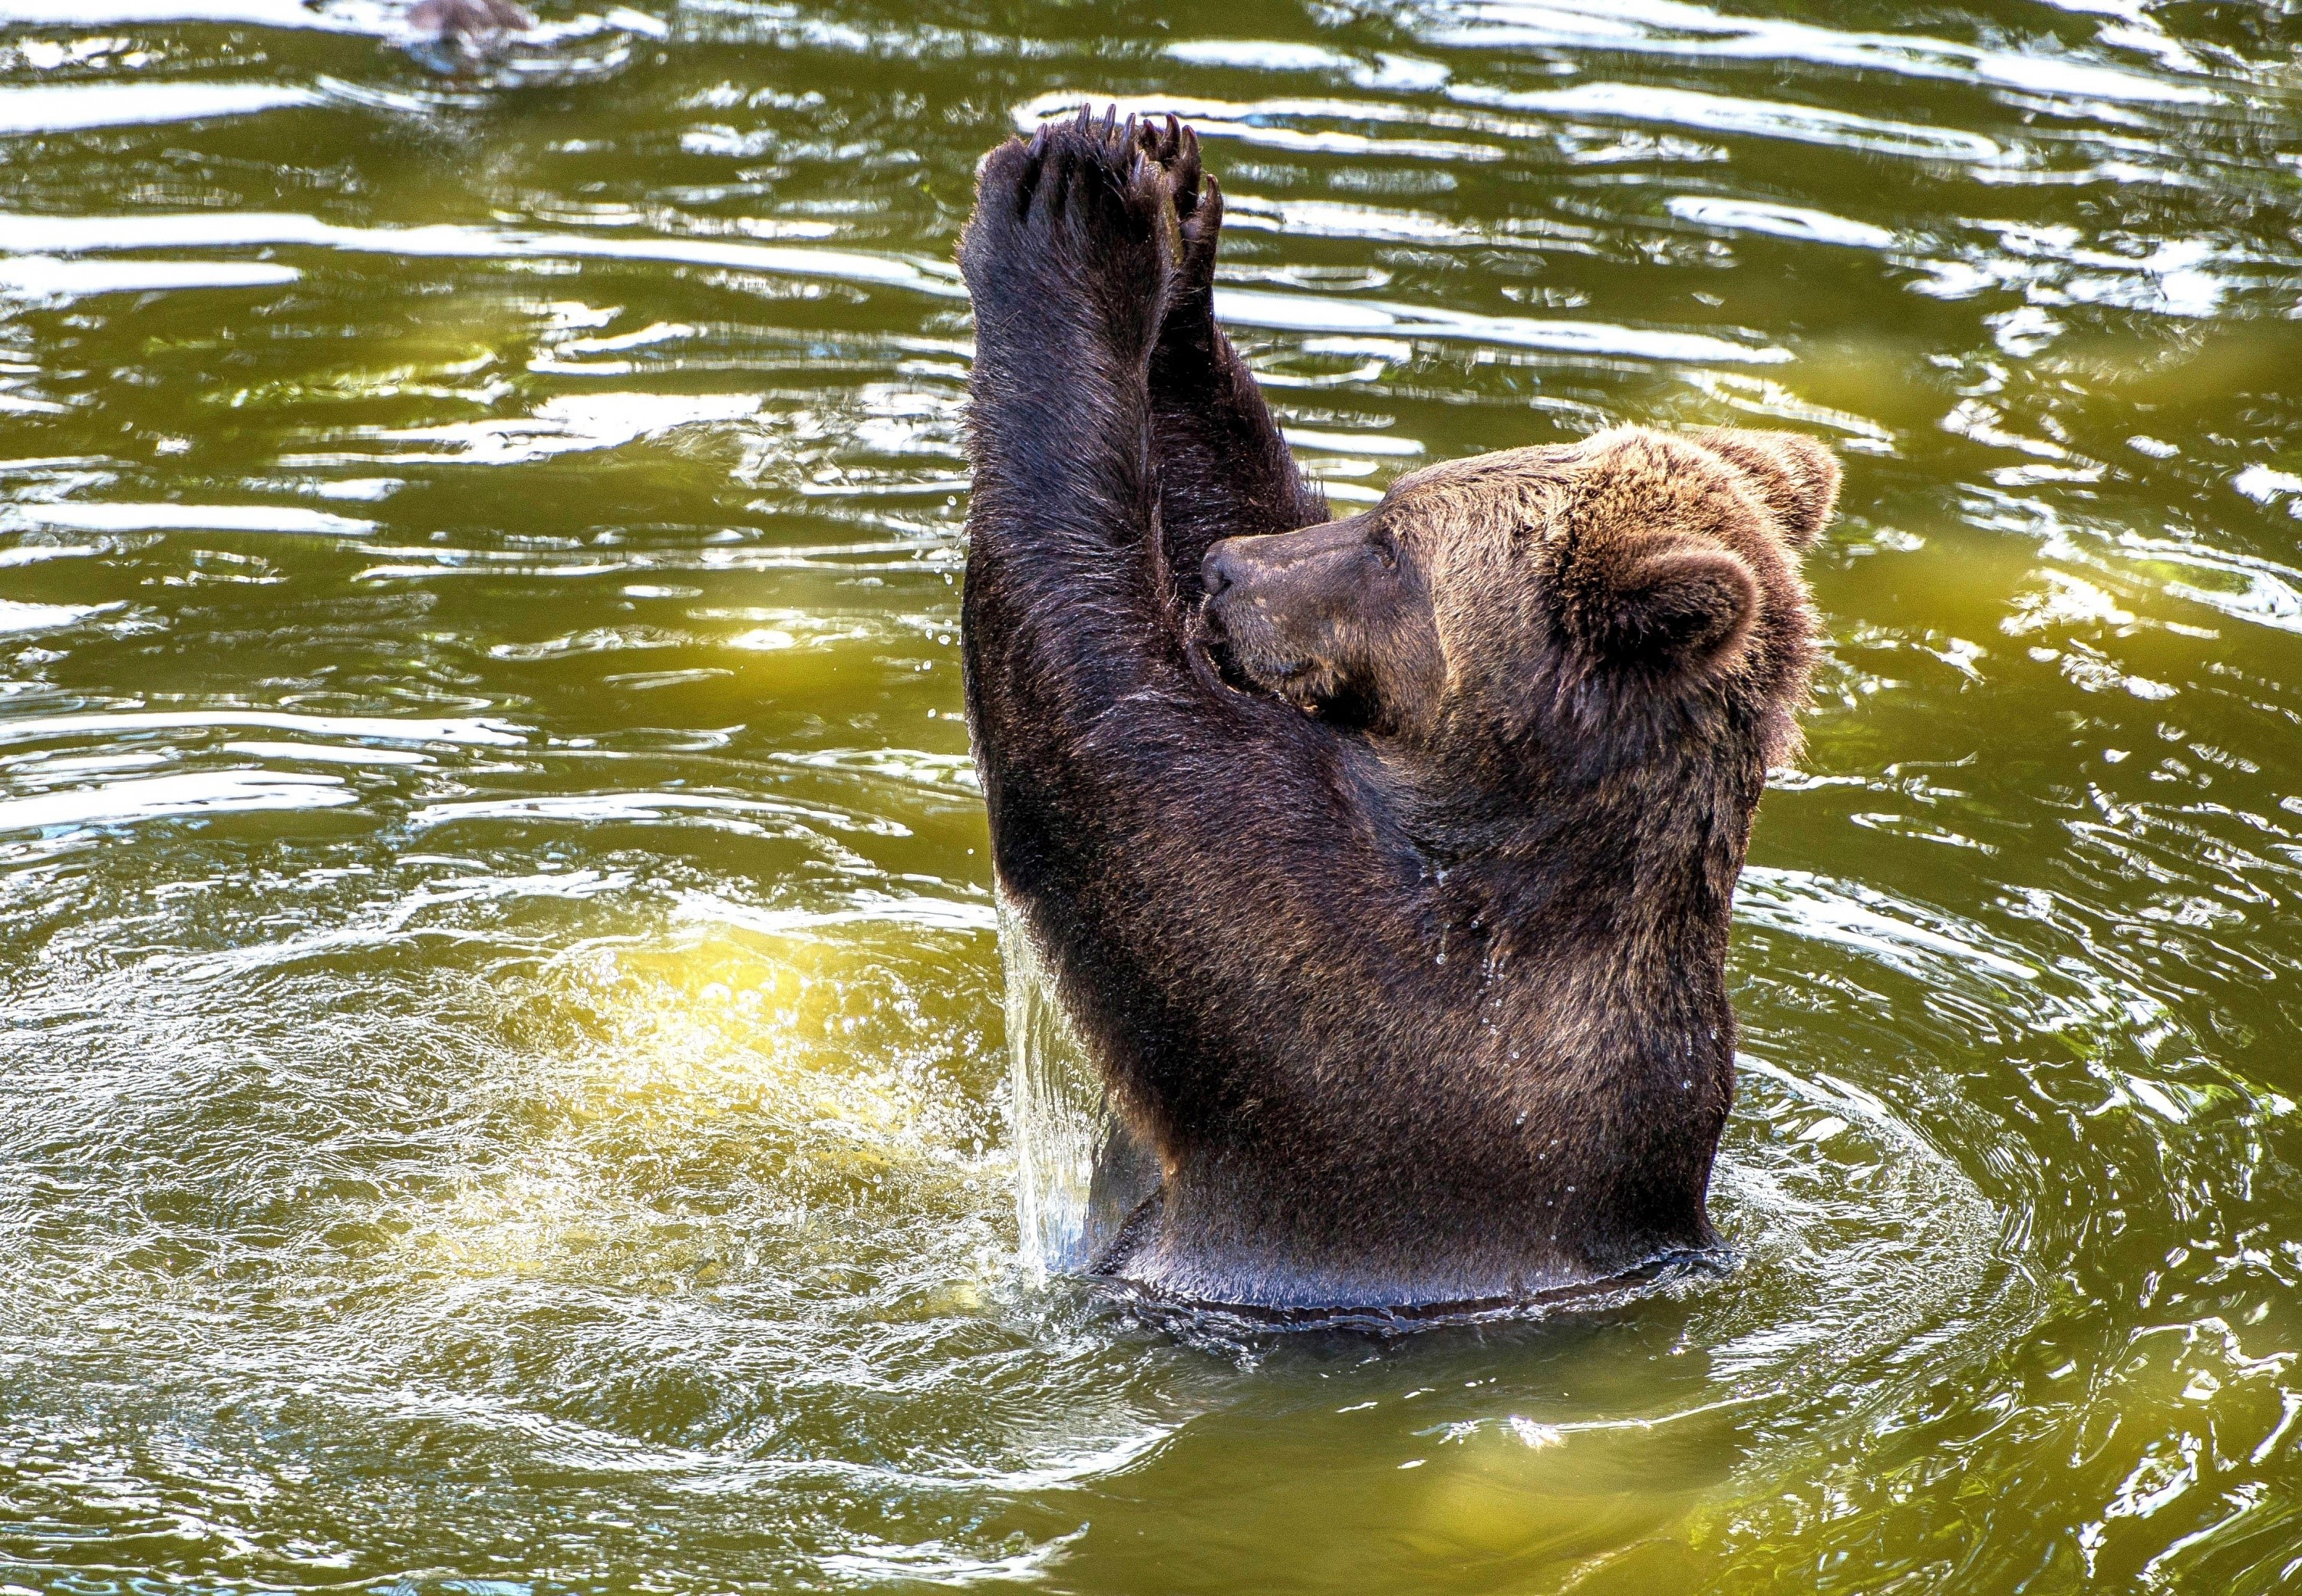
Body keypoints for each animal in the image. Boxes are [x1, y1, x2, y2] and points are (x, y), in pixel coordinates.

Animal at [959, 107, 1836, 1313]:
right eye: (1381, 504)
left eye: (1393, 546)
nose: (1229, 573)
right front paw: (1174, 216)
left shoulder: (1348, 1001)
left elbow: (1101, 719)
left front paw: (1072, 217)